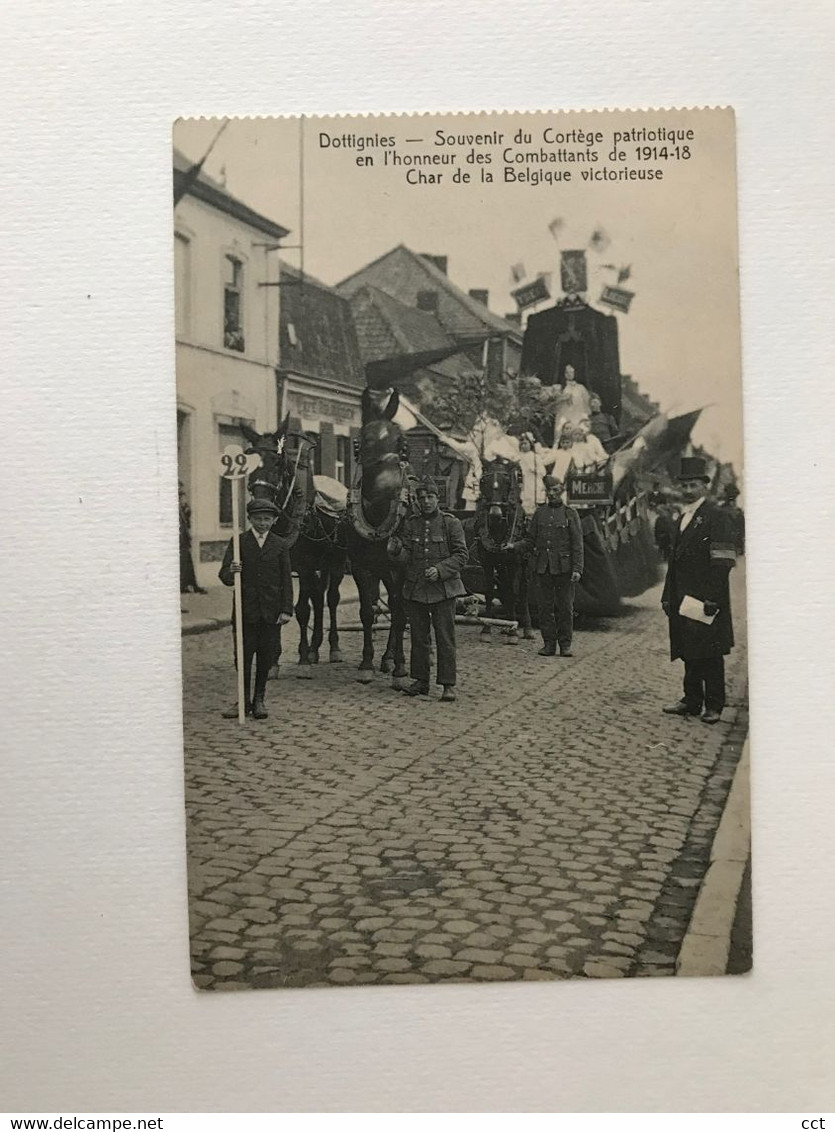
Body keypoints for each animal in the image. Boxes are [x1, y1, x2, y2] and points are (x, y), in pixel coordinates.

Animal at [468, 457, 534, 638]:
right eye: (484, 481)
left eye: (506, 481)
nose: (495, 514)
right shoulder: (487, 563)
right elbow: (490, 592)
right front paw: (487, 628)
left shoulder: (515, 564)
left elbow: (514, 592)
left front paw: (514, 632)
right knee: (504, 588)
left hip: (524, 565)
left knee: (523, 591)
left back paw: (525, 628)